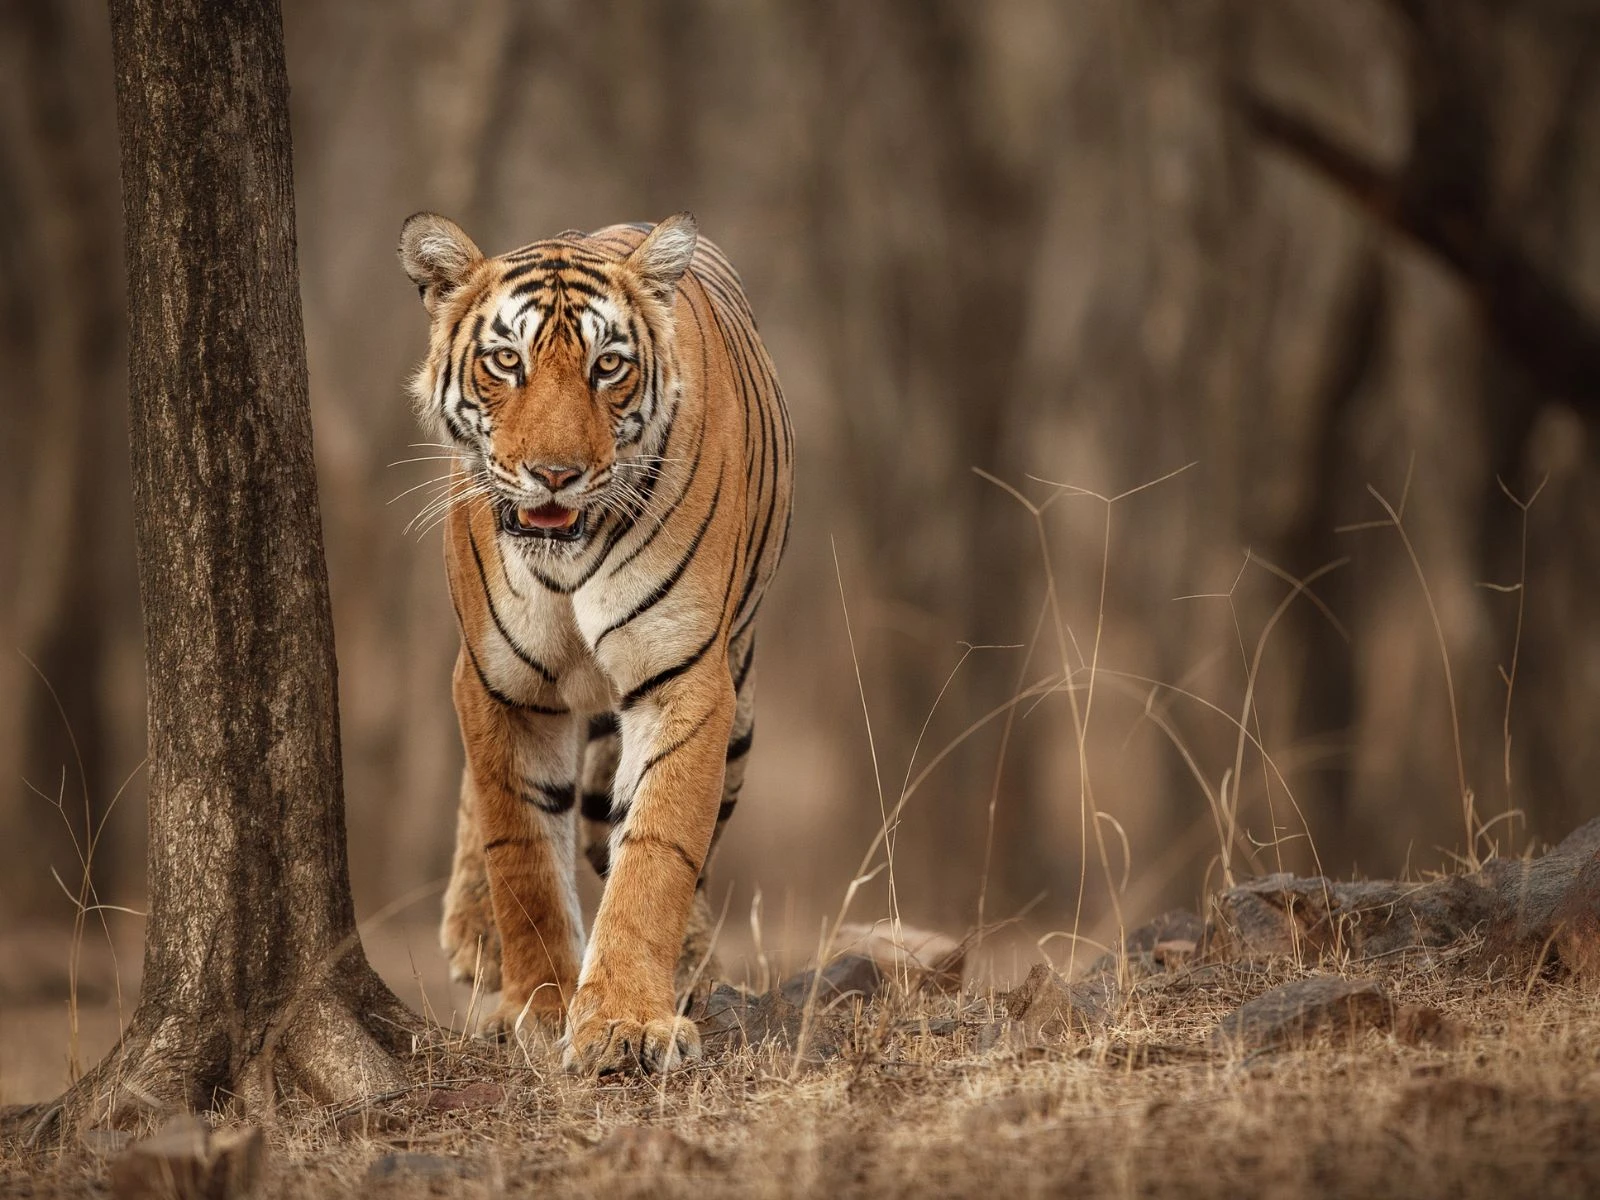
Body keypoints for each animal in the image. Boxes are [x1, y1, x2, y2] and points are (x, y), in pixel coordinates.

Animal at [397, 211, 793, 1075]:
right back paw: (475, 937)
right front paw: (541, 1007)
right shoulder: (497, 684)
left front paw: (623, 1022)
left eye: (608, 366)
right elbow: (520, 852)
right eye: (505, 361)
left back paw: (688, 967)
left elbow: (656, 851)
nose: (555, 474)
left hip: (742, 705)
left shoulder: (684, 676)